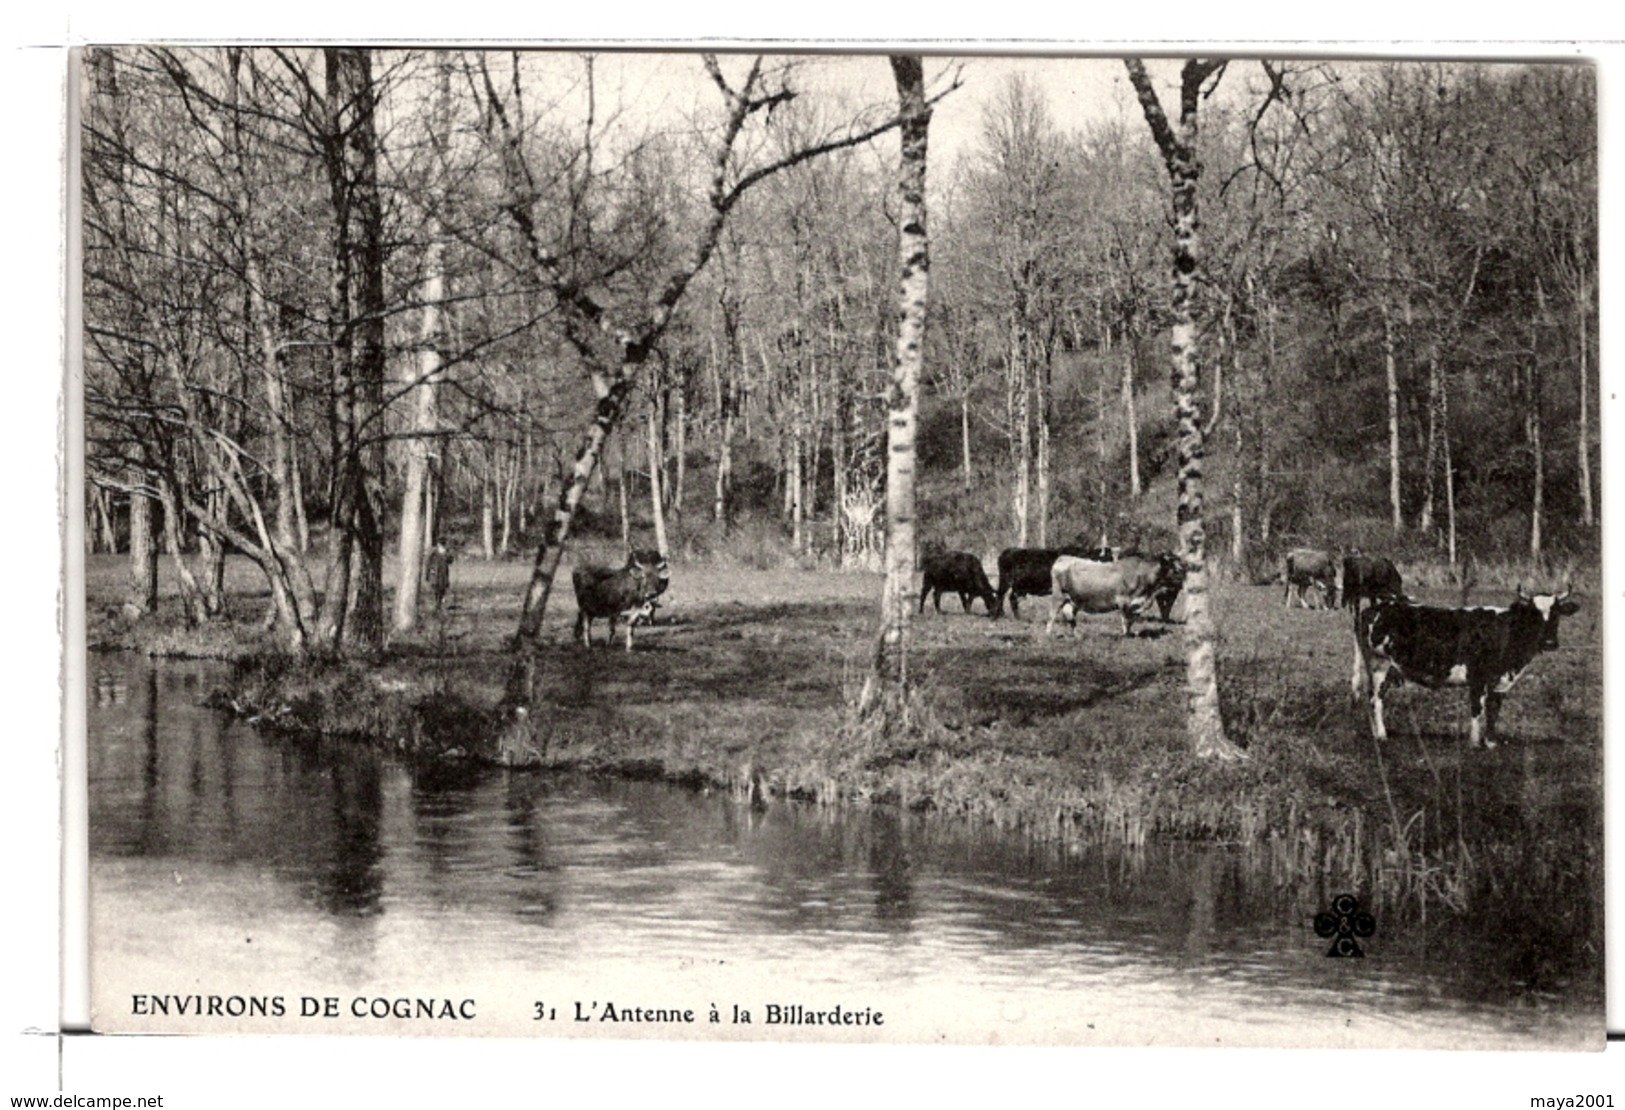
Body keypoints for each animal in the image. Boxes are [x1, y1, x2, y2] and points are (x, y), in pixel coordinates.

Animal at [1352, 585, 1579, 750]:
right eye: (1534, 614)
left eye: (1557, 613)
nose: (1549, 643)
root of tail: (1374, 608)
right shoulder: (1478, 676)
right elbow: (1477, 709)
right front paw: (1474, 742)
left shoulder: (1500, 681)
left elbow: (1494, 709)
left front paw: (1490, 742)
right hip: (1379, 663)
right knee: (1376, 699)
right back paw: (1381, 735)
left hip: (1388, 668)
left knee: (1373, 697)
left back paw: (1376, 732)